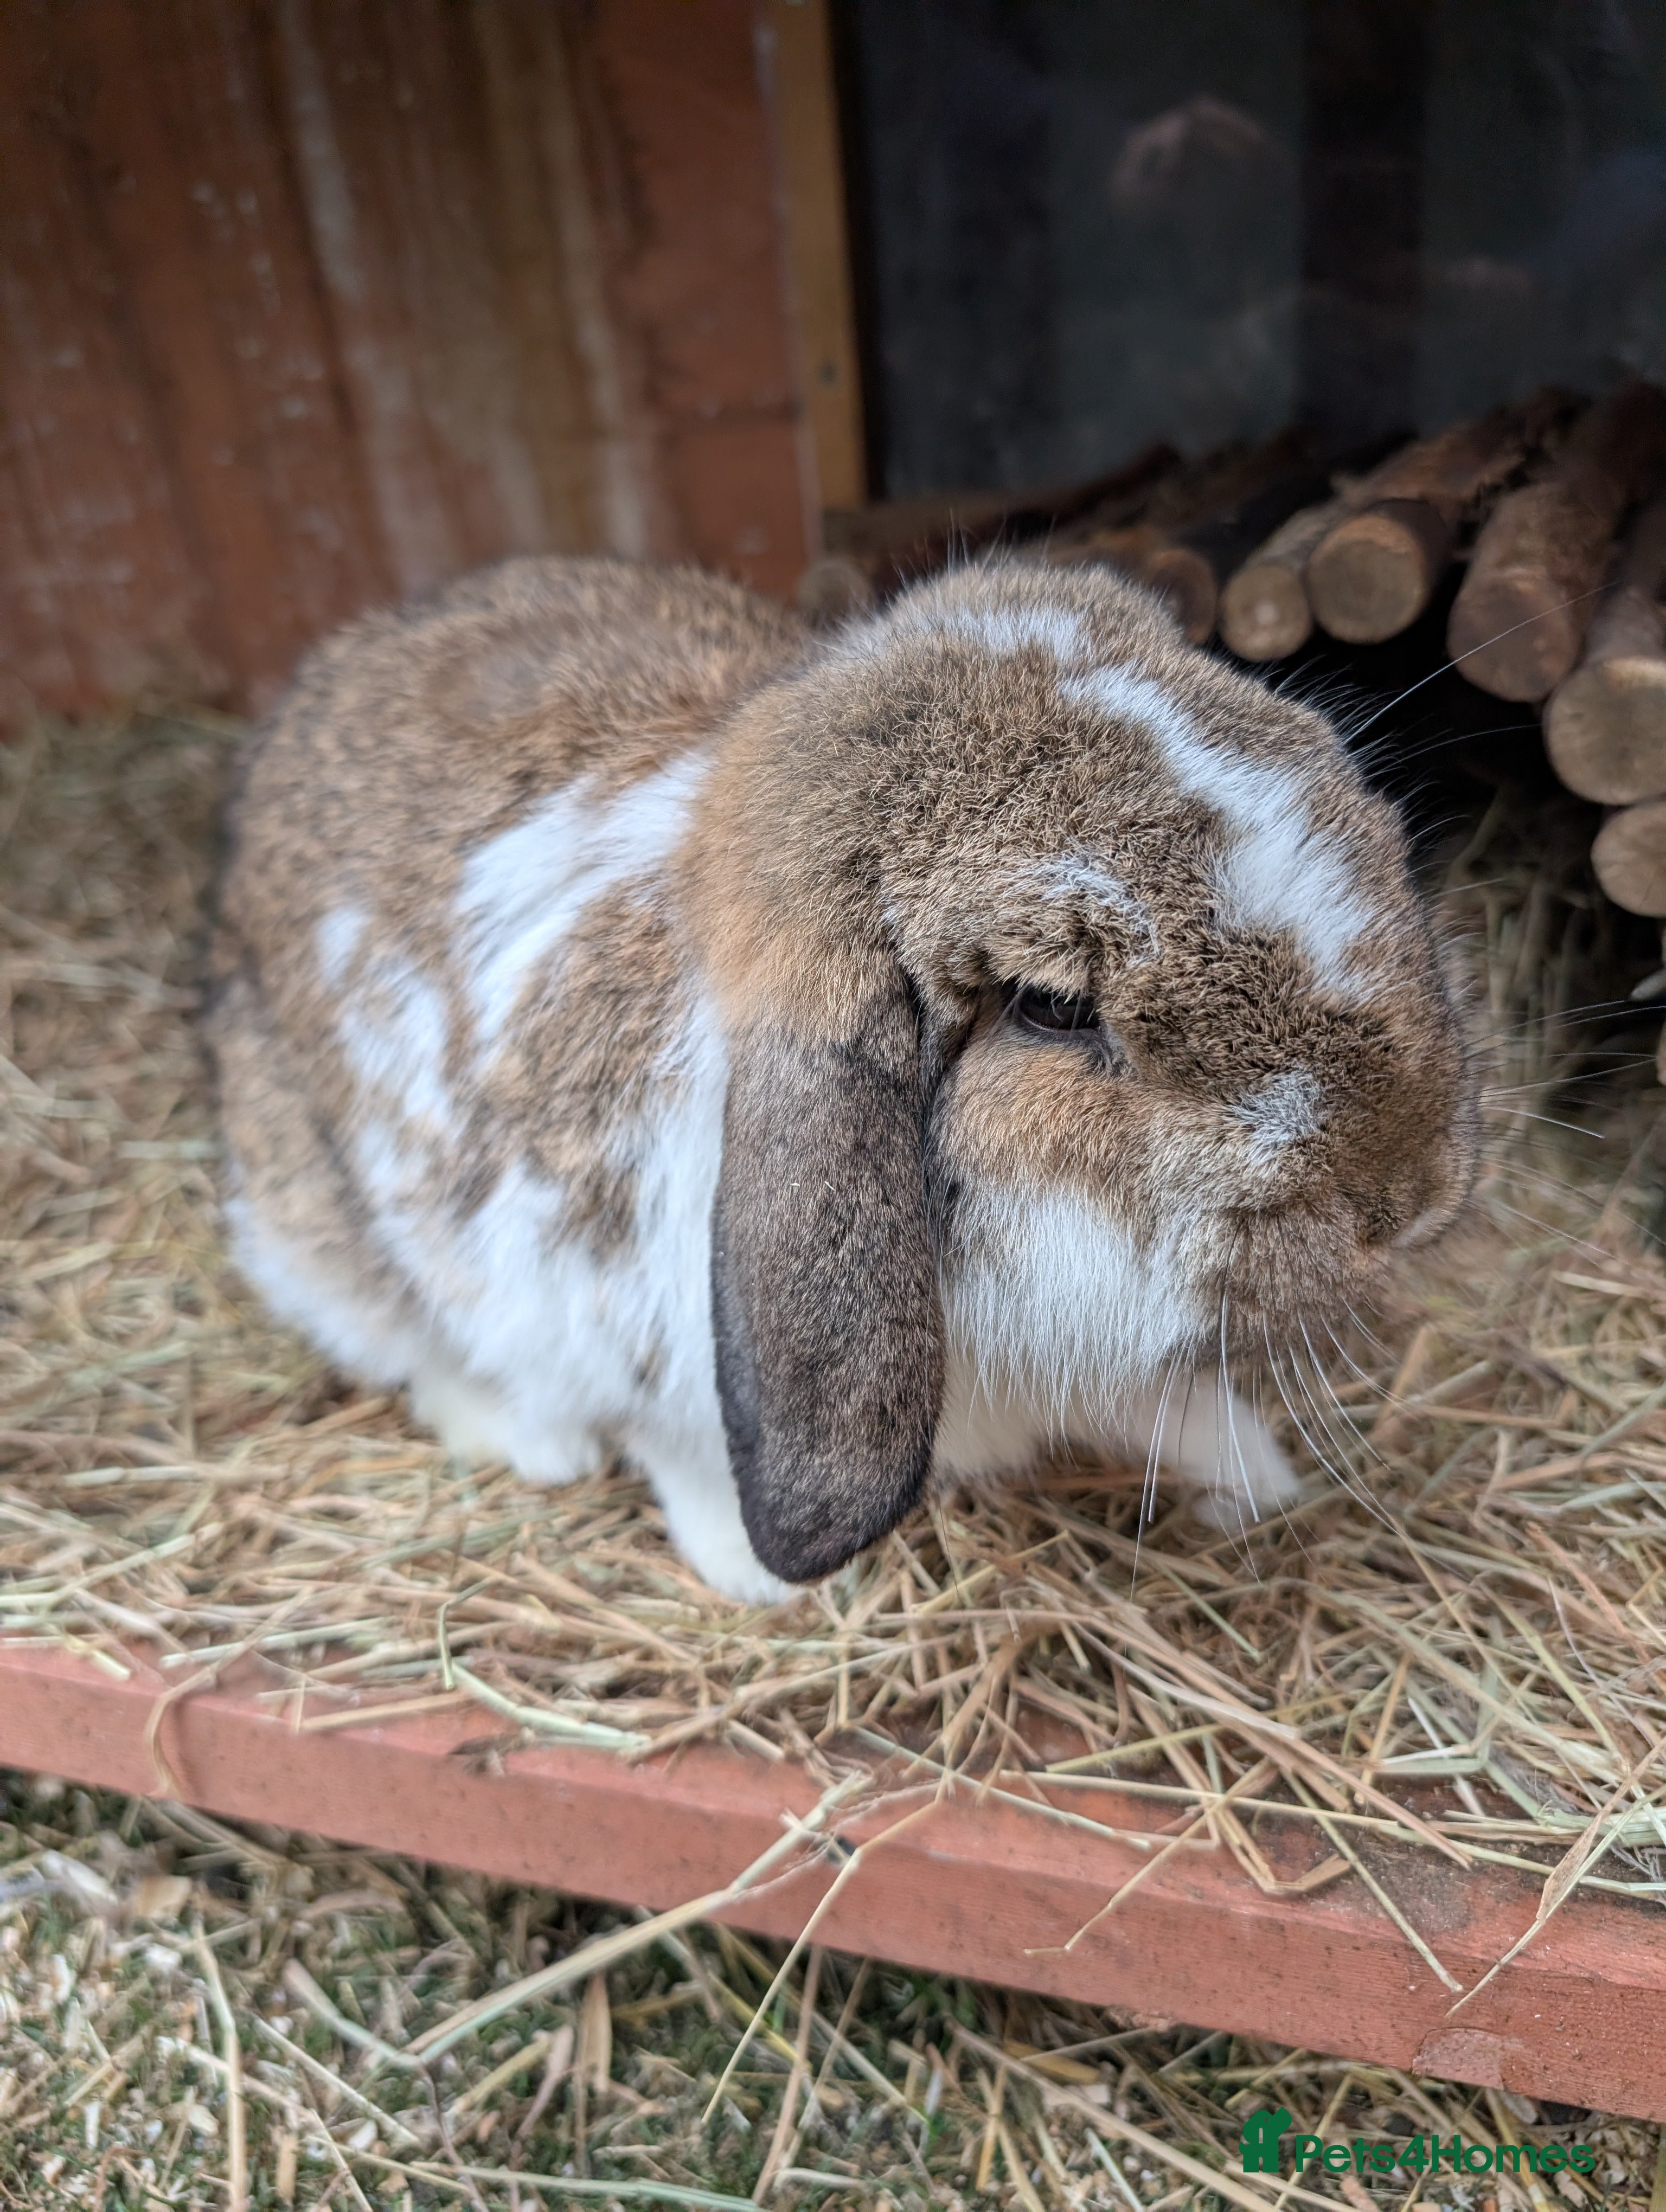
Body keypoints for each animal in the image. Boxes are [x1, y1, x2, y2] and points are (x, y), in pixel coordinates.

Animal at [207, 553, 1478, 1604]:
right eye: (1053, 1007)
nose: (1411, 1200)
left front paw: (1255, 1476)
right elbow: (677, 1445)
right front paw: (753, 1577)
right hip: (313, 1219)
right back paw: (529, 1441)